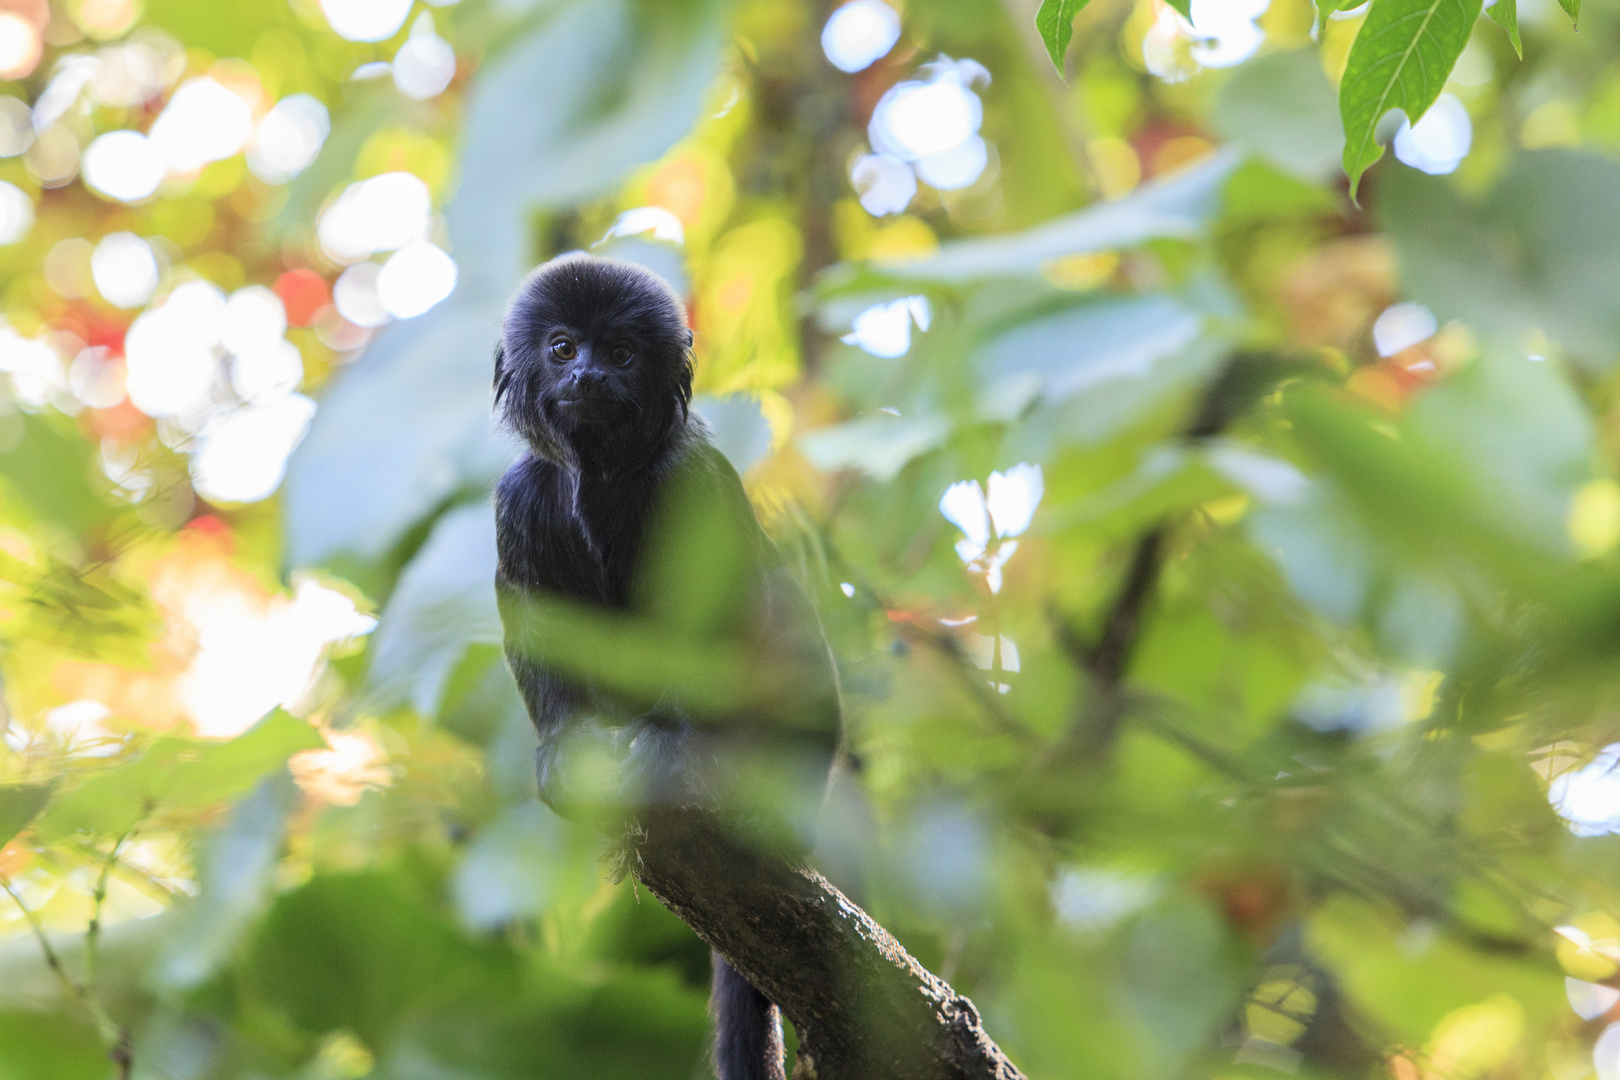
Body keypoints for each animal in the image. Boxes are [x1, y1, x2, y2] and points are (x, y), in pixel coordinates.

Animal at [489, 250, 848, 1080]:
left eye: (621, 355)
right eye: (563, 348)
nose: (589, 375)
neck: (599, 479)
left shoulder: (696, 484)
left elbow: (707, 621)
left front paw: (668, 751)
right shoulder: (518, 499)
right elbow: (541, 628)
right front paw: (565, 751)